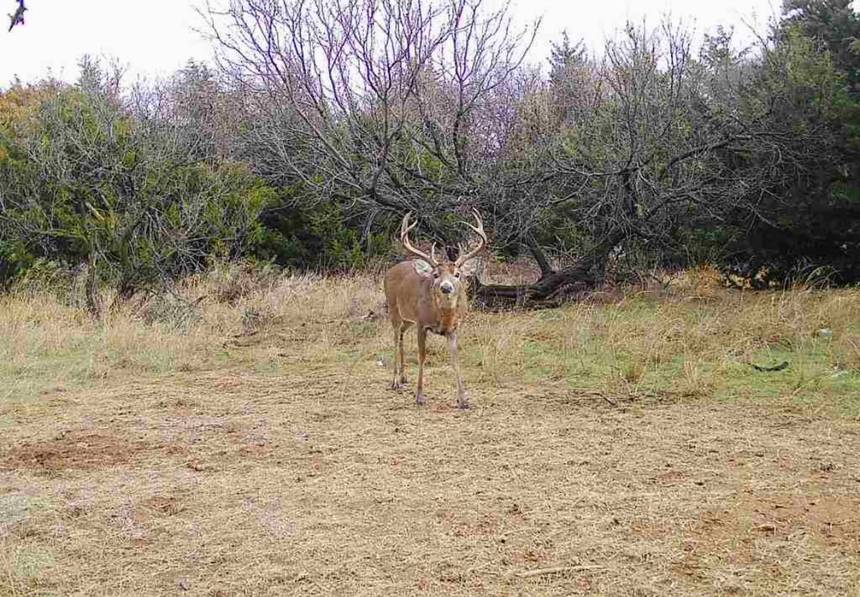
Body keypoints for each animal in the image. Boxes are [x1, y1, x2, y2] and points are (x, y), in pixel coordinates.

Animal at [383, 210, 487, 409]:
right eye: (436, 274)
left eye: (457, 274)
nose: (446, 287)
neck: (442, 317)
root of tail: (391, 269)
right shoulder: (421, 324)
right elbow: (422, 356)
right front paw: (419, 396)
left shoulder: (453, 328)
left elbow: (455, 360)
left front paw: (463, 399)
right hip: (393, 308)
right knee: (394, 338)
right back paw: (395, 381)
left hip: (408, 318)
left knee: (401, 335)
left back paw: (404, 377)